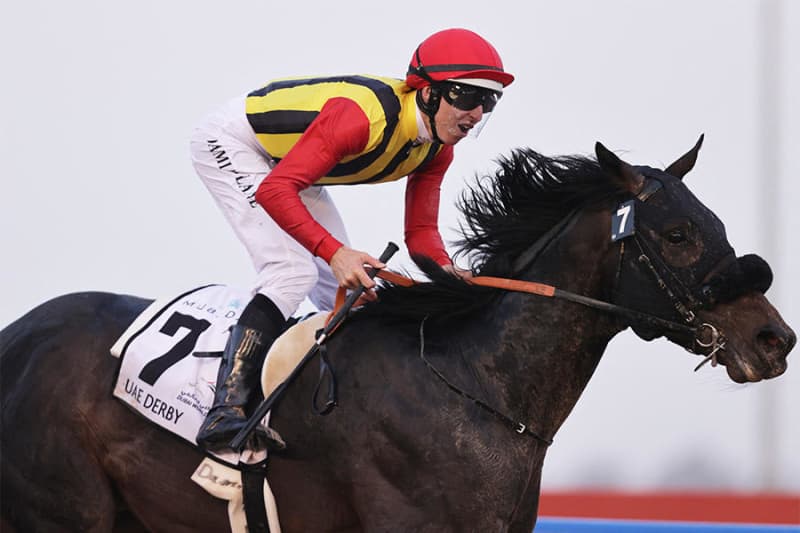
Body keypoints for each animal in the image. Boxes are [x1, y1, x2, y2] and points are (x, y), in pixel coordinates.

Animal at [1, 138, 794, 532]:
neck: (472, 384)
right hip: (60, 511)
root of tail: (18, 336)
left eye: (716, 223)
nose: (774, 339)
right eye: (680, 234)